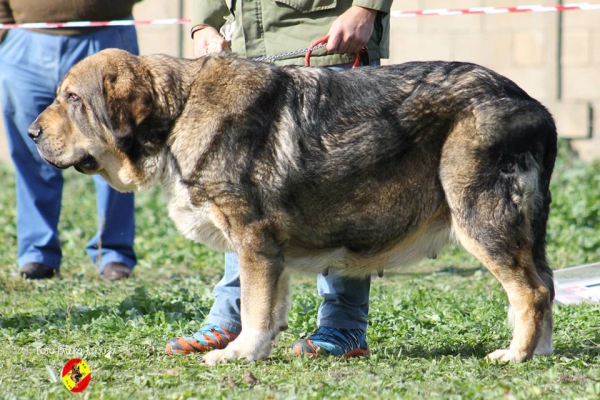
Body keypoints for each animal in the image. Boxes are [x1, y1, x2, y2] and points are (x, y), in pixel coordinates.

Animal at [29, 47, 556, 366]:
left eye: (72, 98)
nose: (32, 133)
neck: (178, 111)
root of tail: (532, 104)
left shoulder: (254, 240)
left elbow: (255, 308)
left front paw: (237, 354)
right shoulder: (269, 251)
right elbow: (268, 308)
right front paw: (255, 351)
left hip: (481, 216)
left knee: (529, 291)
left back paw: (515, 355)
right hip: (524, 229)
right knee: (546, 285)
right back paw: (541, 351)